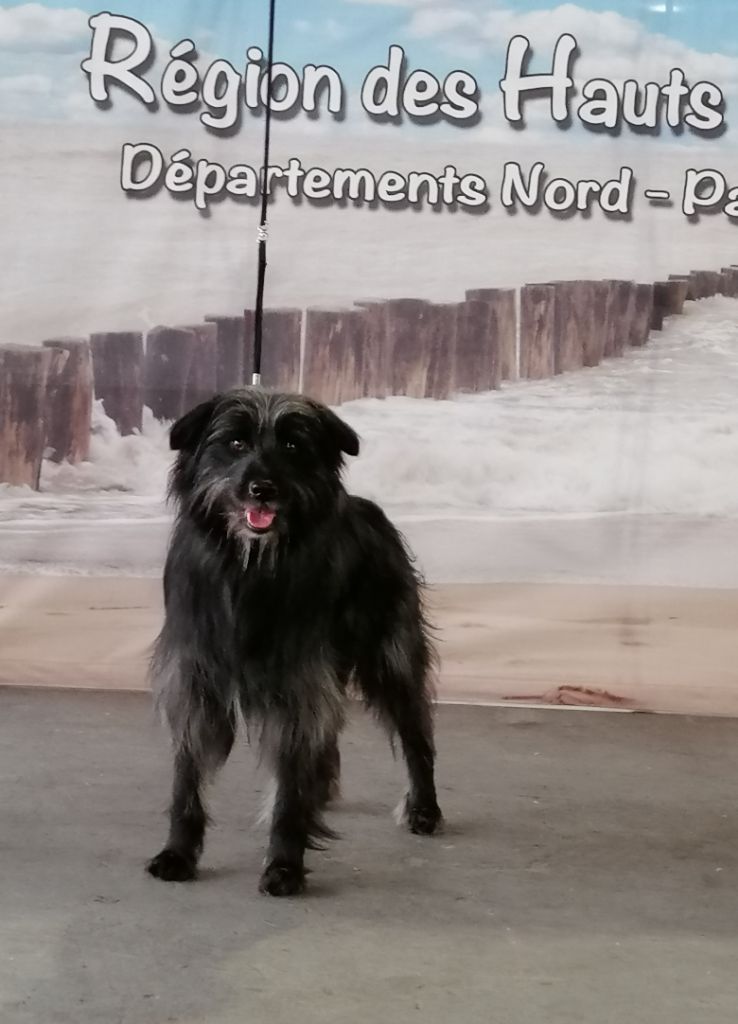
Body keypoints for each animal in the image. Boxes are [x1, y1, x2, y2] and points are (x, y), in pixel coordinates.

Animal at [146, 387, 443, 896]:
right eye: (236, 442)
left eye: (291, 446)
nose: (262, 488)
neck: (247, 567)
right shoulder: (194, 683)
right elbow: (187, 780)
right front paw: (177, 853)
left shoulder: (298, 683)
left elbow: (287, 785)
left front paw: (284, 863)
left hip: (391, 659)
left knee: (415, 732)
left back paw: (424, 807)